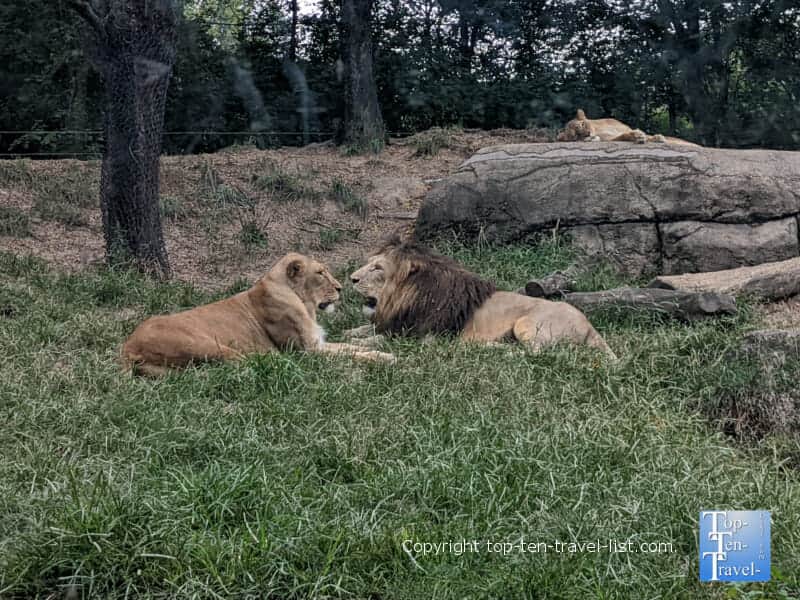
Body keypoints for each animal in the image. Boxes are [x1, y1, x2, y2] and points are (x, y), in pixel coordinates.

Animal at [121, 253, 395, 376]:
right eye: (320, 273)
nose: (340, 288)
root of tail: (128, 346)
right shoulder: (307, 351)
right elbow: (350, 354)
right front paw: (386, 358)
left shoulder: (317, 342)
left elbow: (350, 346)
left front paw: (381, 348)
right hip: (210, 345)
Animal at [344, 236, 616, 359]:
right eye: (369, 263)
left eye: (377, 268)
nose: (351, 279)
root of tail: (589, 325)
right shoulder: (397, 323)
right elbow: (368, 329)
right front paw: (349, 333)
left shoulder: (425, 338)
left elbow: (381, 340)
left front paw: (360, 342)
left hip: (527, 324)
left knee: (536, 353)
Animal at [556, 109, 697, 145]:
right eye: (575, 136)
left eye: (582, 124)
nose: (587, 134)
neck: (599, 130)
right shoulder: (611, 139)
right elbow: (624, 136)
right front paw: (638, 137)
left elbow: (648, 135)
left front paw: (657, 137)